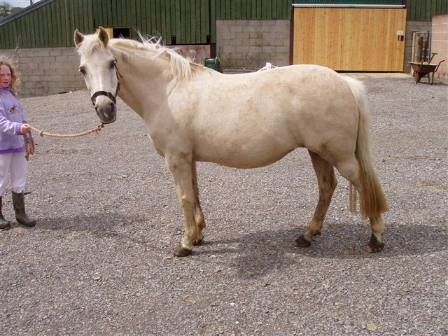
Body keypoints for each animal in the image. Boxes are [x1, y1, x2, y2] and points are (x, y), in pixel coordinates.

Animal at [74, 27, 388, 256]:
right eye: (83, 69)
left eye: (112, 63)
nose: (105, 110)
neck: (168, 89)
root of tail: (345, 82)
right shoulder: (188, 159)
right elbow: (195, 195)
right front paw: (198, 236)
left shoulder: (176, 158)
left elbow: (184, 198)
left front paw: (185, 245)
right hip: (318, 152)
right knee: (326, 188)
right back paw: (307, 236)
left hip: (339, 155)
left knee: (362, 183)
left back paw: (376, 238)